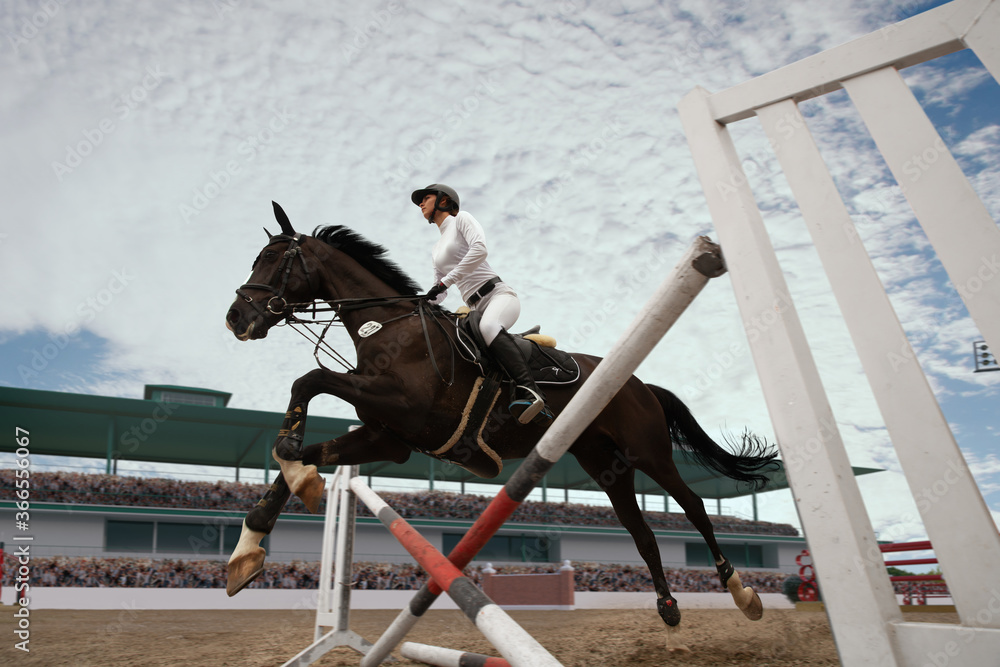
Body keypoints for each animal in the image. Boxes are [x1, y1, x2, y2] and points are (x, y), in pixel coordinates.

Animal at [223, 202, 776, 628]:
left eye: (272, 260)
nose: (236, 318)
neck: (388, 327)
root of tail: (640, 383)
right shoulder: (387, 436)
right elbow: (300, 458)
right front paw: (248, 549)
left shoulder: (403, 408)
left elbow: (308, 382)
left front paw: (293, 458)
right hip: (605, 464)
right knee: (641, 532)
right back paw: (667, 605)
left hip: (648, 453)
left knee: (695, 507)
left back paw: (743, 593)